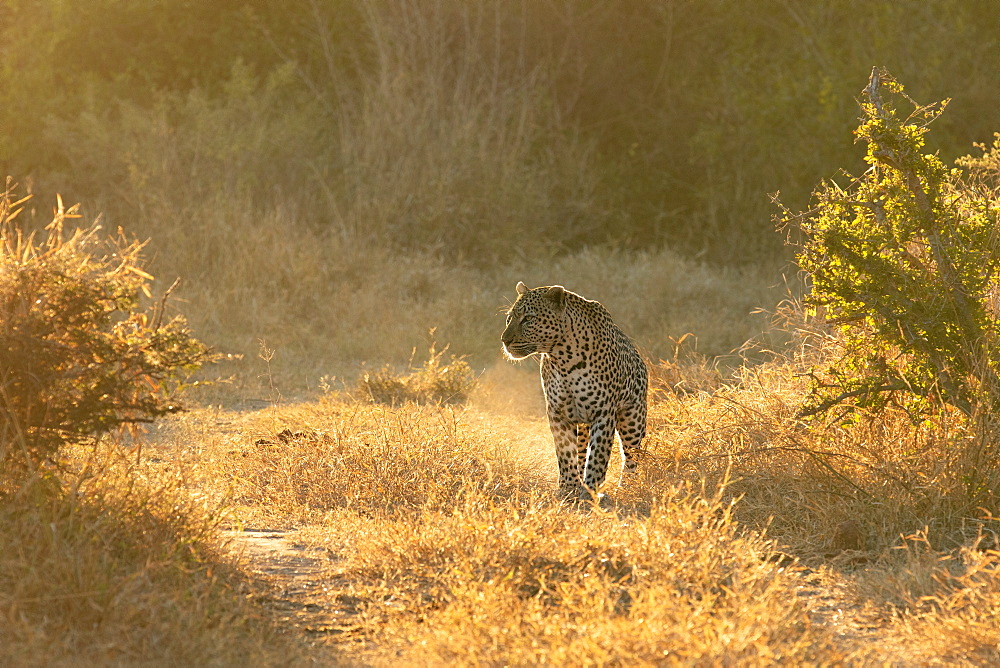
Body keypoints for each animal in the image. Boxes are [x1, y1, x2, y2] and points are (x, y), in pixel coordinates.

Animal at [500, 282, 648, 500]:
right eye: (509, 318)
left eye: (528, 318)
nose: (504, 340)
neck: (563, 359)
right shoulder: (557, 412)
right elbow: (565, 453)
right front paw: (568, 489)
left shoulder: (603, 413)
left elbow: (597, 457)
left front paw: (590, 490)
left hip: (633, 421)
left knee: (631, 456)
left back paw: (628, 487)